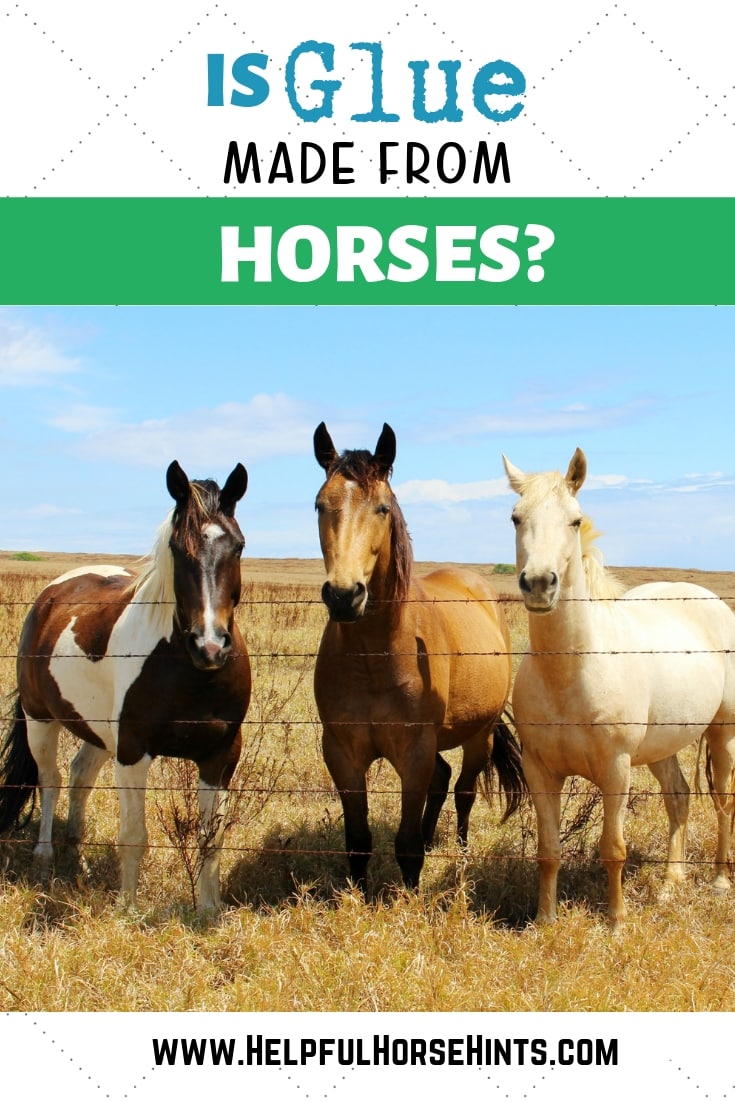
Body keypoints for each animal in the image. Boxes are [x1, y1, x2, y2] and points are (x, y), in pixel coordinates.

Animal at [0, 460, 252, 913]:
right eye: (177, 549)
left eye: (238, 546)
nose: (209, 645)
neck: (192, 674)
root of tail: (52, 593)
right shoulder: (133, 752)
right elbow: (134, 836)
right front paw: (128, 909)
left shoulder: (221, 756)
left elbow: (212, 839)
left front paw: (209, 911)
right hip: (40, 720)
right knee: (51, 781)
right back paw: (45, 858)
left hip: (98, 734)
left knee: (79, 776)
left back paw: (78, 860)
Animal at [313, 421, 525, 891]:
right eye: (320, 505)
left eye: (381, 509)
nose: (344, 595)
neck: (374, 657)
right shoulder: (342, 753)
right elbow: (358, 839)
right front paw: (357, 895)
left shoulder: (414, 751)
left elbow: (406, 843)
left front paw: (409, 896)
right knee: (442, 780)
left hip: (479, 734)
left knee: (463, 791)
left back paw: (460, 853)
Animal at [504, 447, 735, 926]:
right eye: (516, 517)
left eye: (575, 520)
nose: (539, 584)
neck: (571, 672)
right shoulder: (540, 770)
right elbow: (548, 850)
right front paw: (545, 920)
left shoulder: (616, 769)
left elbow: (613, 848)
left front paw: (616, 920)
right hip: (662, 746)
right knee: (679, 798)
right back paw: (670, 884)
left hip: (723, 733)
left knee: (723, 800)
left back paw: (720, 880)